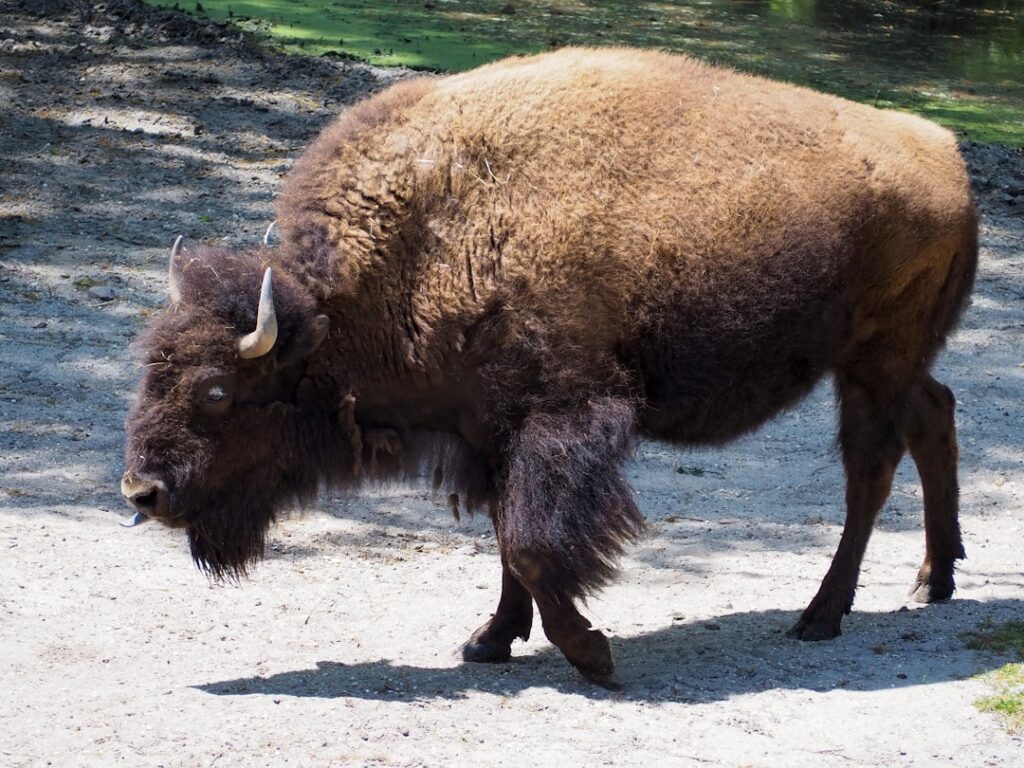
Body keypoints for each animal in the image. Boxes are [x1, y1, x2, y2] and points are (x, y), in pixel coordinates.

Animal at [122, 48, 977, 683]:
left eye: (217, 391)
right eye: (150, 369)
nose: (141, 491)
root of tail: (946, 155)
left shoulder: (559, 420)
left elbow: (534, 544)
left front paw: (593, 655)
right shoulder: (489, 432)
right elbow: (508, 539)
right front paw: (490, 639)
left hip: (873, 362)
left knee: (870, 471)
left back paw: (821, 616)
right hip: (888, 362)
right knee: (935, 416)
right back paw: (933, 579)